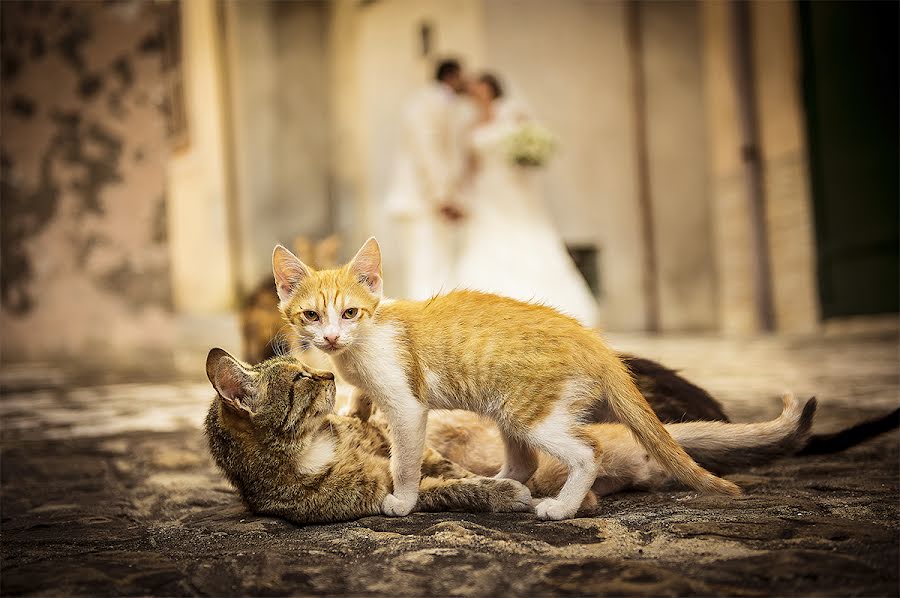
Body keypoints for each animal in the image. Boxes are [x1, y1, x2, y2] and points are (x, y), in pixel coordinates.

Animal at [207, 350, 820, 524]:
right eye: (299, 379)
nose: (328, 376)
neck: (320, 444)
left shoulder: (418, 446)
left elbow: (442, 473)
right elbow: (437, 492)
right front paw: (500, 492)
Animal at [272, 238, 740, 520]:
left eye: (350, 312)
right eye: (311, 315)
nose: (331, 337)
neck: (360, 344)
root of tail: (594, 342)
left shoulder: (407, 405)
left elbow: (403, 459)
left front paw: (402, 500)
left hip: (532, 411)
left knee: (589, 450)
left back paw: (561, 507)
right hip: (507, 406)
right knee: (527, 462)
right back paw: (496, 483)